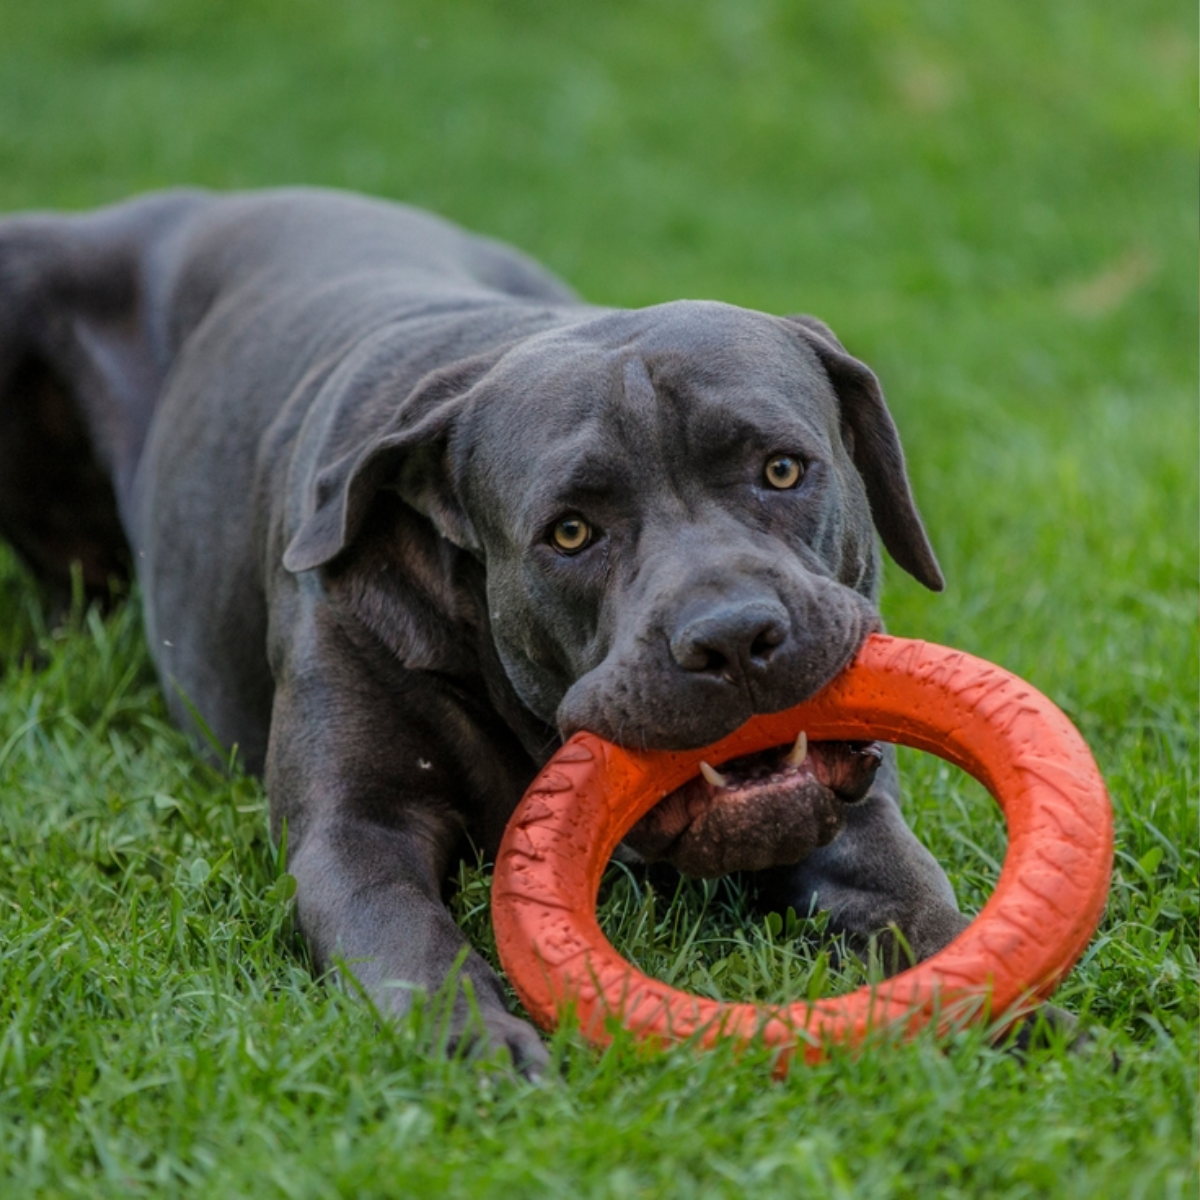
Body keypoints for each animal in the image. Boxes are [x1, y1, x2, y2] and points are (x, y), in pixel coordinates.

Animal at [0, 192, 964, 1075]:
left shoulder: (851, 813)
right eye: (570, 532)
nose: (731, 638)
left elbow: (911, 898)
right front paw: (475, 1047)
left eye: (782, 469)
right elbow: (410, 947)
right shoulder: (356, 831)